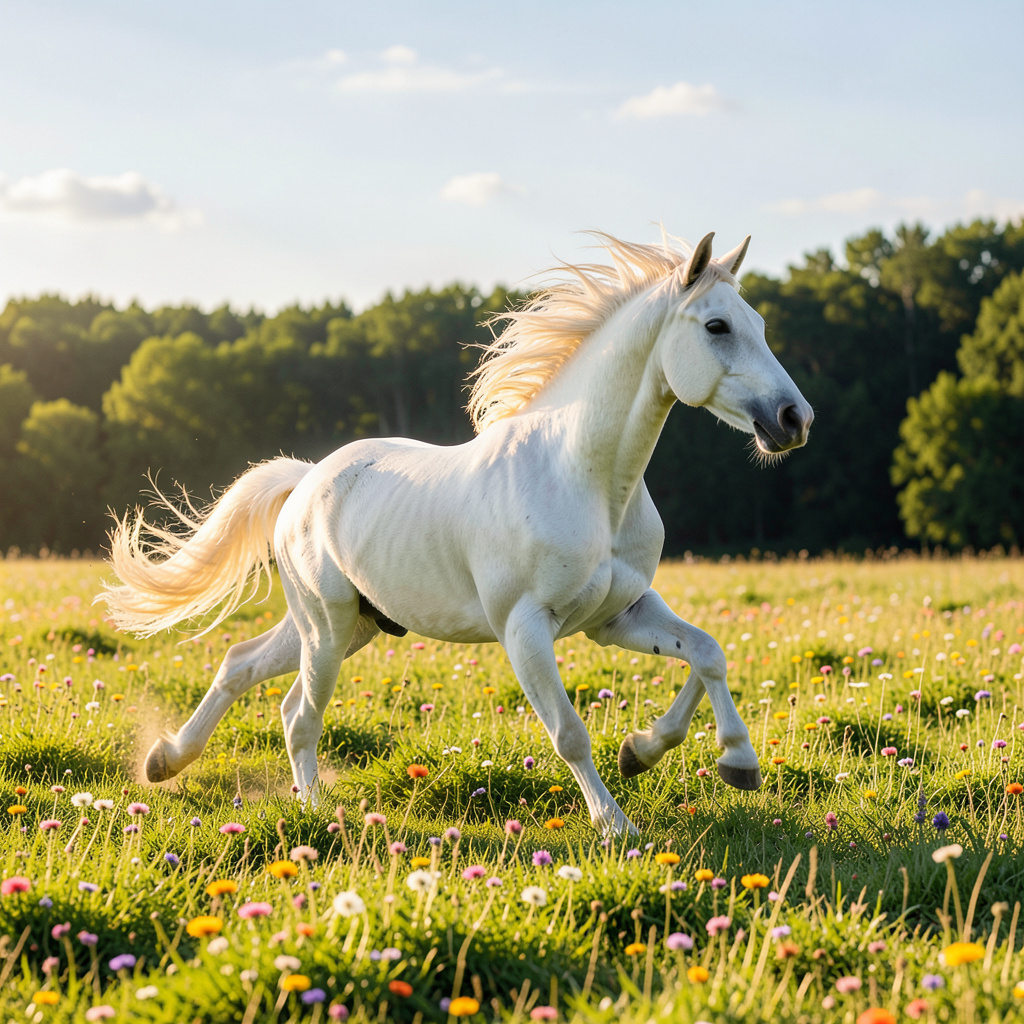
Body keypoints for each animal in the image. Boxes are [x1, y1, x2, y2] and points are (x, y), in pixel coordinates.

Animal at [101, 230, 813, 835]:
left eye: (761, 325)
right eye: (717, 326)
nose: (793, 419)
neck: (587, 481)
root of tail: (305, 480)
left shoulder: (620, 614)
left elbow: (707, 653)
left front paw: (694, 757)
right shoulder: (526, 627)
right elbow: (569, 732)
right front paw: (617, 825)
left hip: (353, 625)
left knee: (246, 669)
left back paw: (167, 761)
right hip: (326, 625)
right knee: (299, 716)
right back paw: (318, 817)